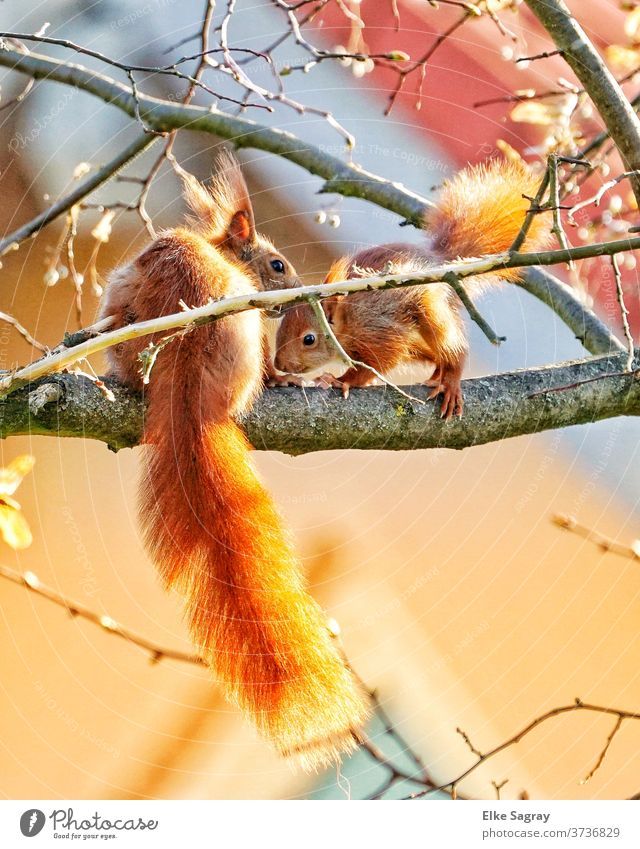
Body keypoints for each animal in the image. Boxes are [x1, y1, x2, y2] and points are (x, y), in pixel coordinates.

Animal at [274, 158, 552, 418]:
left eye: (309, 339)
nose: (279, 363)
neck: (350, 319)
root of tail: (443, 263)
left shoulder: (380, 333)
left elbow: (376, 364)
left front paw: (340, 381)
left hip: (430, 310)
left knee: (455, 348)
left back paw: (450, 380)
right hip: (418, 345)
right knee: (437, 355)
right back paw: (438, 374)